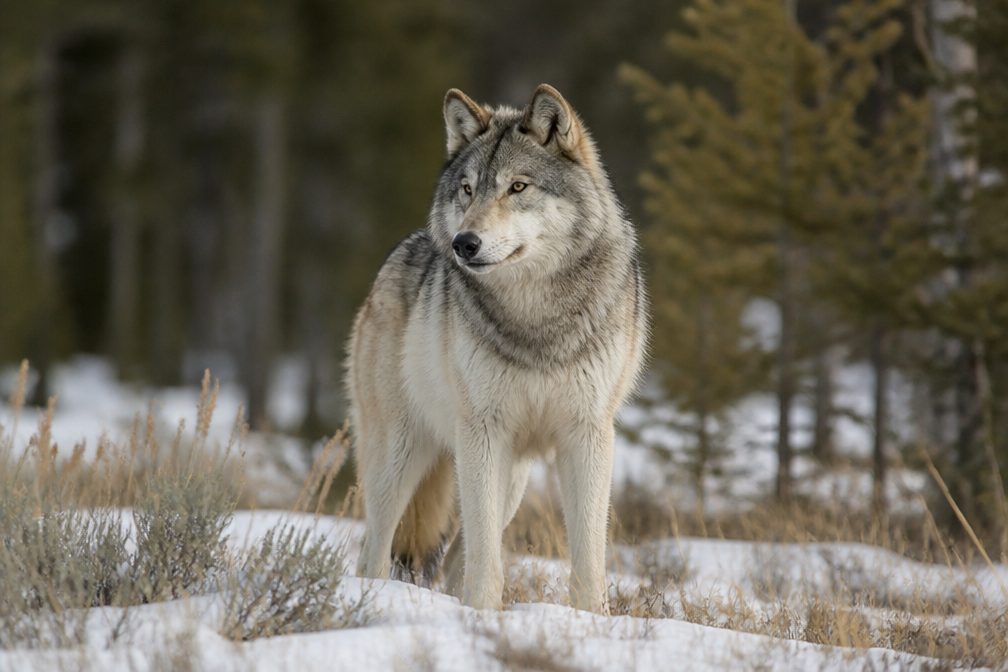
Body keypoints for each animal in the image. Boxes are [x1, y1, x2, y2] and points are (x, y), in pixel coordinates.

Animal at [346, 84, 647, 613]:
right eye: (468, 189)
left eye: (518, 187)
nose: (464, 243)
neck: (537, 315)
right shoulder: (483, 433)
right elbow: (487, 554)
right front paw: (483, 614)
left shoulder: (587, 434)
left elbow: (589, 550)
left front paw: (592, 618)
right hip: (402, 457)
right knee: (376, 548)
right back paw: (376, 598)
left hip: (510, 479)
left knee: (452, 558)